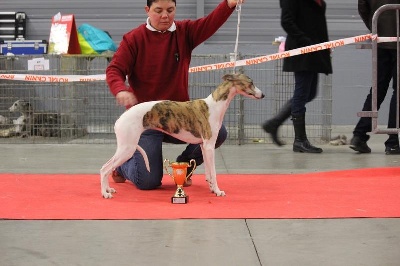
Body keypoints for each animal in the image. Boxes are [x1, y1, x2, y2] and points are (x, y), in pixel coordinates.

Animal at [100, 74, 264, 198]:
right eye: (251, 83)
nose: (263, 95)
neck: (214, 105)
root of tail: (120, 119)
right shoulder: (210, 146)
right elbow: (214, 172)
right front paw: (218, 191)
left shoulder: (204, 146)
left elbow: (209, 173)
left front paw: (212, 188)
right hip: (127, 148)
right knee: (104, 168)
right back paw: (105, 193)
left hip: (127, 147)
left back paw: (108, 189)